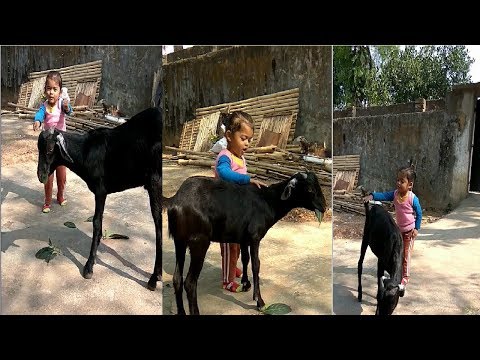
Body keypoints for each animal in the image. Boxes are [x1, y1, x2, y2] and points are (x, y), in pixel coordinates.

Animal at [36, 107, 163, 290]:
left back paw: (154, 278)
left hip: (155, 181)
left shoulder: (100, 190)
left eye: (50, 149)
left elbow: (97, 223)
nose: (41, 175)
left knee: (158, 223)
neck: (85, 151)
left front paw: (89, 266)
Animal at [167, 172, 328, 316]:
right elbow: (256, 264)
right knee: (190, 282)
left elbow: (245, 258)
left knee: (177, 279)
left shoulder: (244, 238)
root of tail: (176, 201)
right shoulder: (255, 237)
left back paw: (181, 312)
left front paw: (245, 284)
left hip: (179, 241)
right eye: (310, 189)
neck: (268, 201)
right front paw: (259, 301)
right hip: (199, 242)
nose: (324, 207)